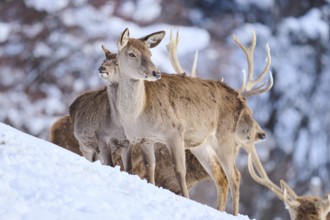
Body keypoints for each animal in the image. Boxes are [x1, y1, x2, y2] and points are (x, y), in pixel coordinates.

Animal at [113, 28, 270, 215]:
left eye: (150, 54)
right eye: (132, 53)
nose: (156, 73)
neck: (138, 113)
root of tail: (239, 98)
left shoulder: (175, 130)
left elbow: (180, 170)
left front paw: (186, 198)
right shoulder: (144, 139)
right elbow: (150, 167)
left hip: (225, 137)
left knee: (235, 176)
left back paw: (234, 214)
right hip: (201, 145)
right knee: (220, 176)